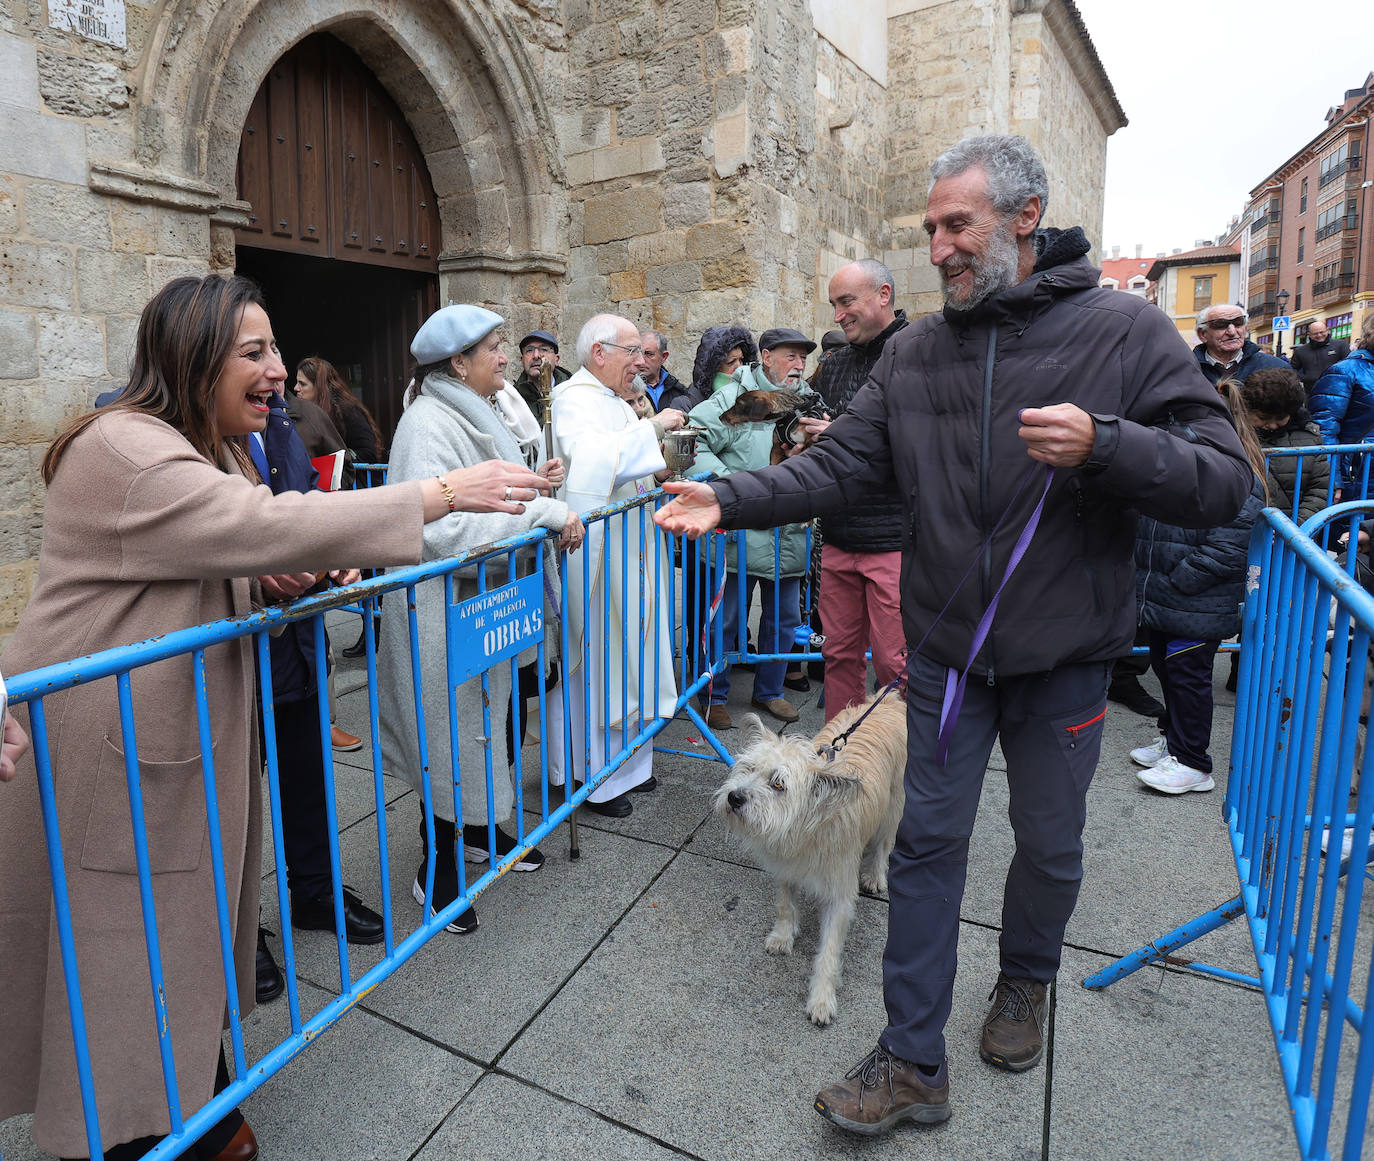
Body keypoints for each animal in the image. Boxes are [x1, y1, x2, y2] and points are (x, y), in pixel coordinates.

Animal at [714, 692, 906, 1016]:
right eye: (749, 769)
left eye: (778, 784)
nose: (734, 797)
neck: (809, 829)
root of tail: (888, 698)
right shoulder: (784, 867)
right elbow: (785, 904)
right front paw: (783, 935)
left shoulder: (840, 894)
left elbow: (829, 950)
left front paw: (821, 998)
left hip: (893, 804)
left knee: (884, 842)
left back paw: (875, 873)